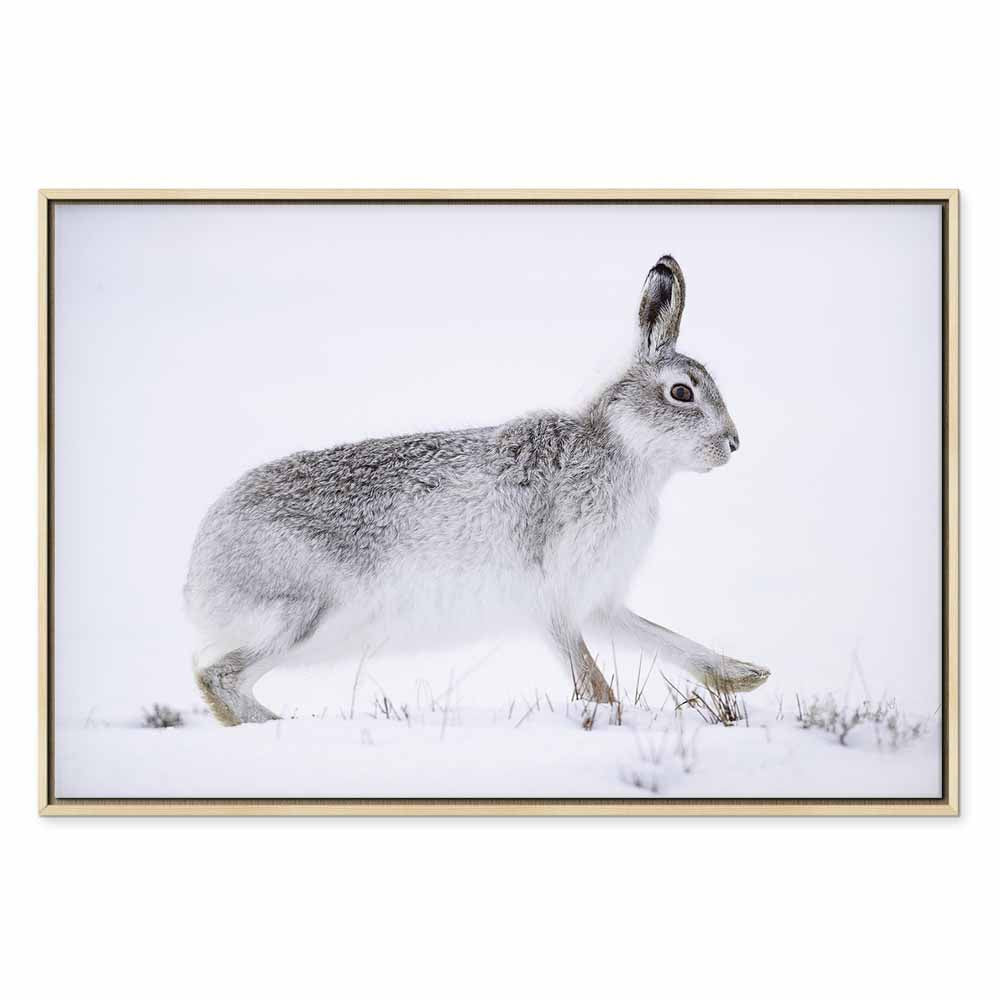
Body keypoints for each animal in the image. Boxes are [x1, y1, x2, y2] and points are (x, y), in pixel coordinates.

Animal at [184, 254, 770, 725]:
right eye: (681, 393)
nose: (733, 443)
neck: (622, 450)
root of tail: (198, 574)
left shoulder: (598, 599)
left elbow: (662, 638)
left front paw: (745, 676)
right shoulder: (554, 596)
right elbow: (589, 677)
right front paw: (611, 715)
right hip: (307, 613)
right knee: (218, 678)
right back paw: (279, 727)